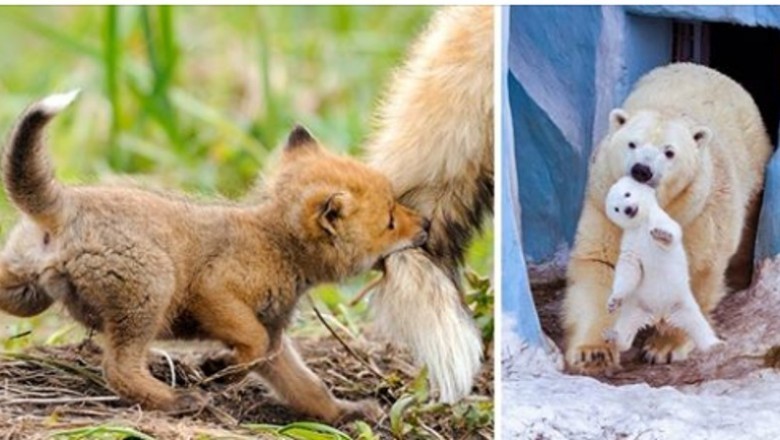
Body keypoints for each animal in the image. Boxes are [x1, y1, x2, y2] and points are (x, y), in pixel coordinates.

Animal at [604, 176, 720, 354]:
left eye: (627, 194)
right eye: (616, 209)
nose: (628, 209)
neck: (641, 224)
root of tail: (660, 315)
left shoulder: (662, 219)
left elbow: (671, 233)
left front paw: (661, 235)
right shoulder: (631, 241)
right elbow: (629, 266)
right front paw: (613, 301)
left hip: (681, 303)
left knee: (698, 325)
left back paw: (714, 344)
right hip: (637, 307)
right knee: (626, 328)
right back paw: (613, 337)